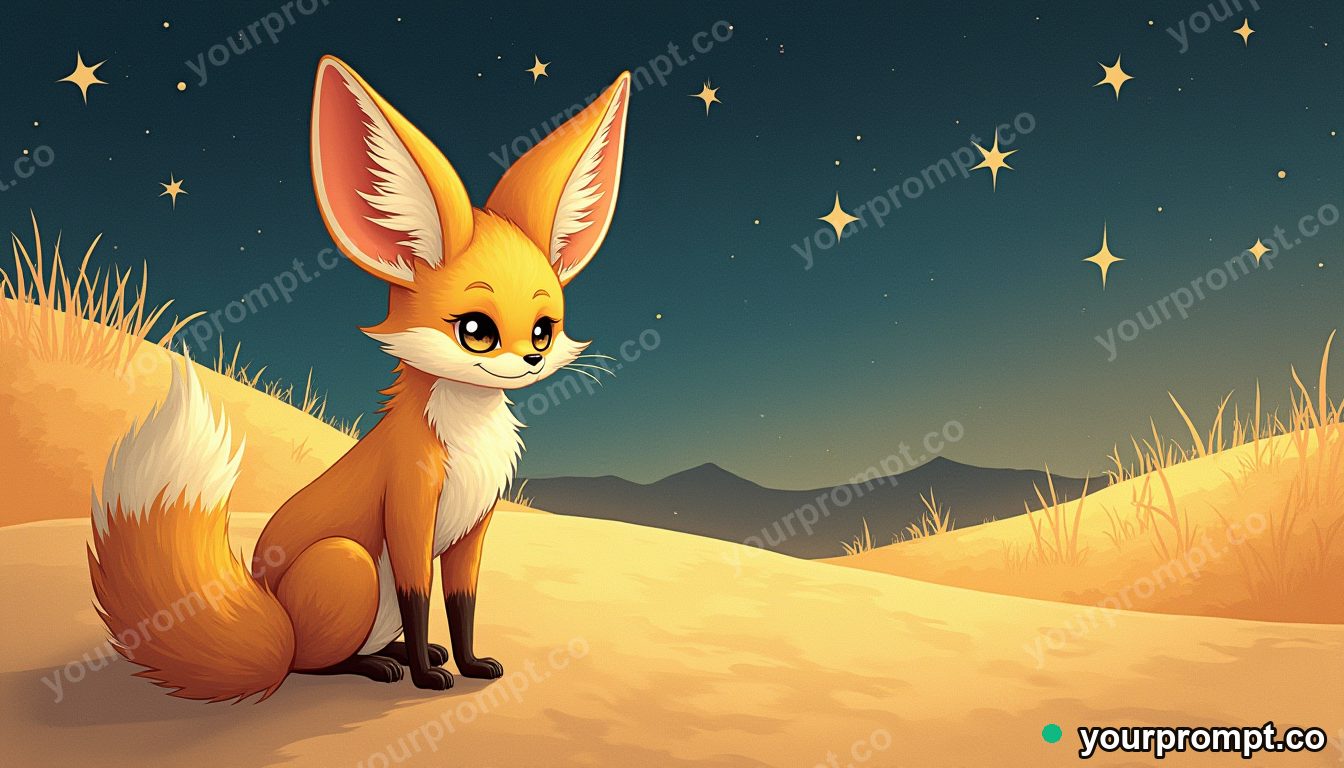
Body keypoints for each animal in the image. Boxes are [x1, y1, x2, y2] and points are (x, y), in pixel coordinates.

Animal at [87, 56, 631, 700]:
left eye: (543, 330)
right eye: (477, 330)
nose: (531, 362)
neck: (468, 436)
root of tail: (276, 623)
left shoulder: (473, 527)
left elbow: (463, 603)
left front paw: (470, 663)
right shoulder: (410, 509)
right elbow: (422, 597)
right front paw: (427, 677)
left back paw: (399, 655)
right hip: (348, 565)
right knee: (313, 663)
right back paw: (380, 666)